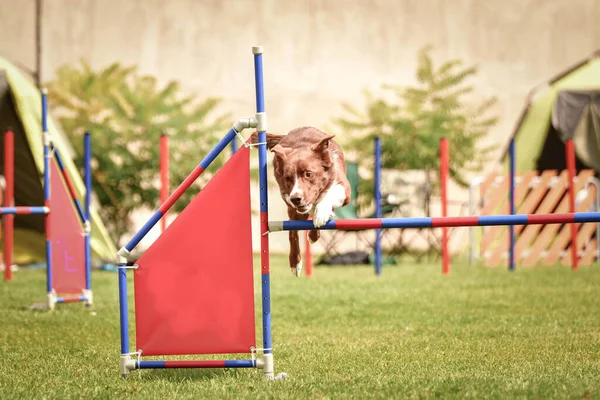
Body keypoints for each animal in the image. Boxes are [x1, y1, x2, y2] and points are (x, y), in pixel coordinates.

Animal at [252, 126, 352, 276]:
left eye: (308, 174)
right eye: (288, 178)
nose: (296, 199)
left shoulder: (343, 187)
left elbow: (327, 197)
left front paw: (321, 213)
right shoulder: (287, 196)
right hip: (291, 211)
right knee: (292, 232)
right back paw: (295, 262)